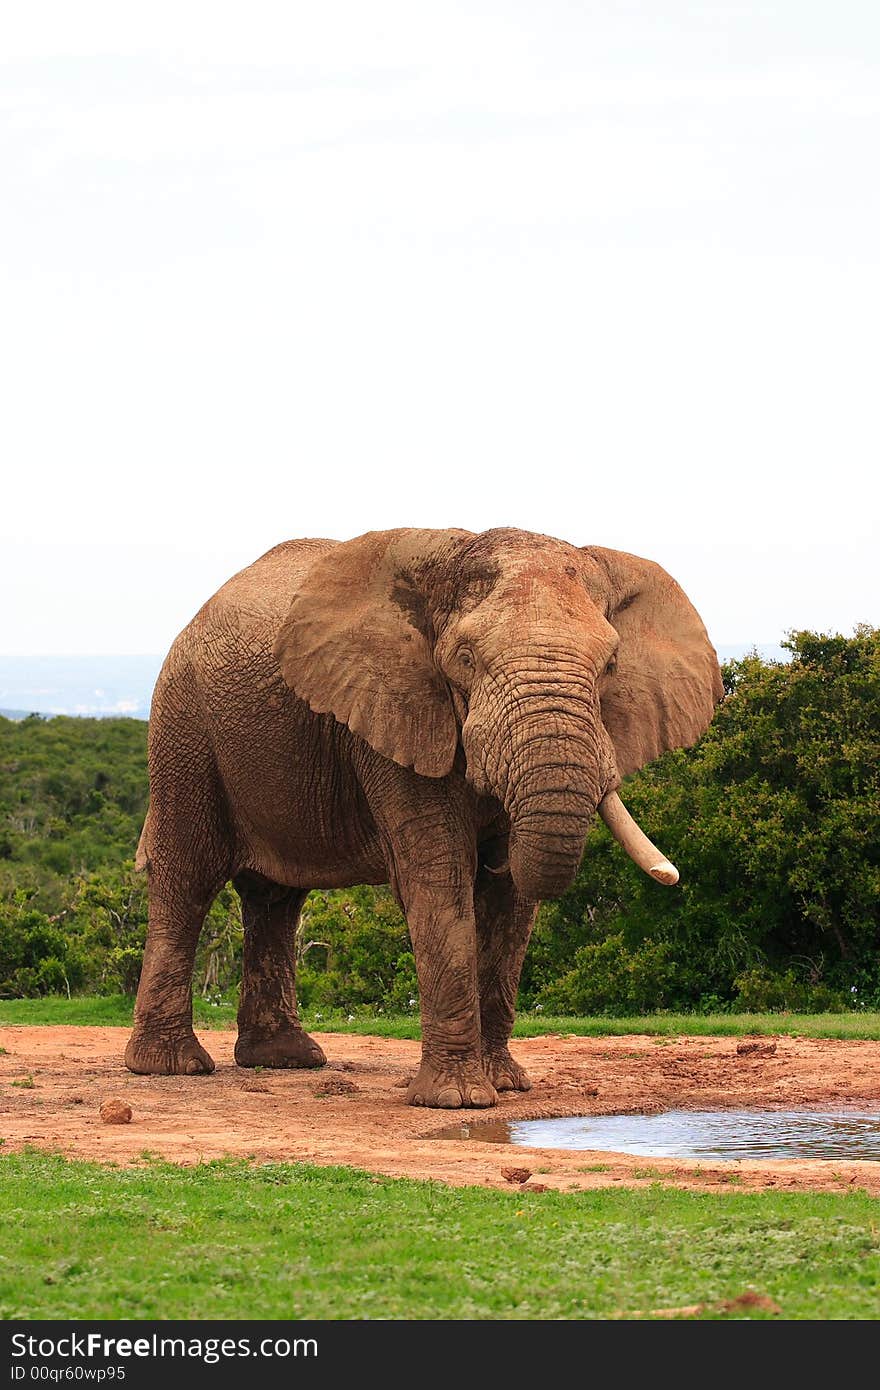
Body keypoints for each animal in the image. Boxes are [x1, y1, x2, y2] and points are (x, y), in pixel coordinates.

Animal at [127, 528, 722, 1106]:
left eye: (610, 666)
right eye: (465, 658)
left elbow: (510, 902)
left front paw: (505, 1085)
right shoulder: (396, 712)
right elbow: (438, 876)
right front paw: (459, 1100)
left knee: (275, 898)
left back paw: (286, 1060)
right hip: (184, 730)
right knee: (189, 879)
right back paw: (172, 1067)